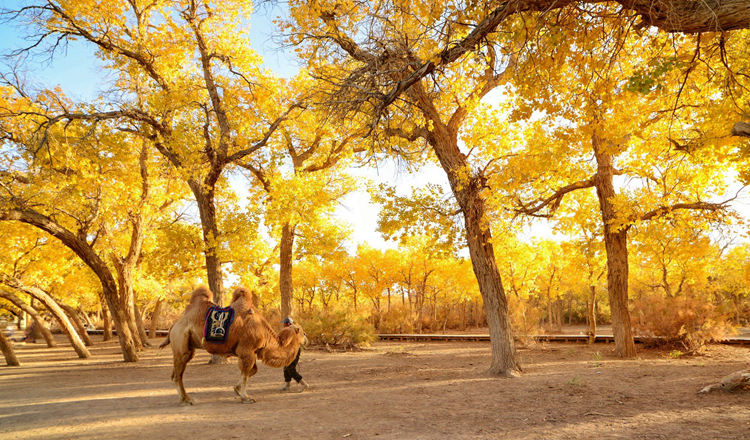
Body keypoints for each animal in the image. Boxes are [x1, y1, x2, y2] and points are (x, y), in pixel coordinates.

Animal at [162, 286, 308, 406]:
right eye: (303, 332)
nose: (307, 340)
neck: (265, 333)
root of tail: (173, 326)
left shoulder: (249, 352)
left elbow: (251, 371)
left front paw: (236, 390)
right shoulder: (246, 350)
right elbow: (245, 375)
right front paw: (246, 398)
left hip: (189, 347)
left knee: (179, 373)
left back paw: (188, 398)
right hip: (180, 342)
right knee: (177, 374)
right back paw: (184, 401)